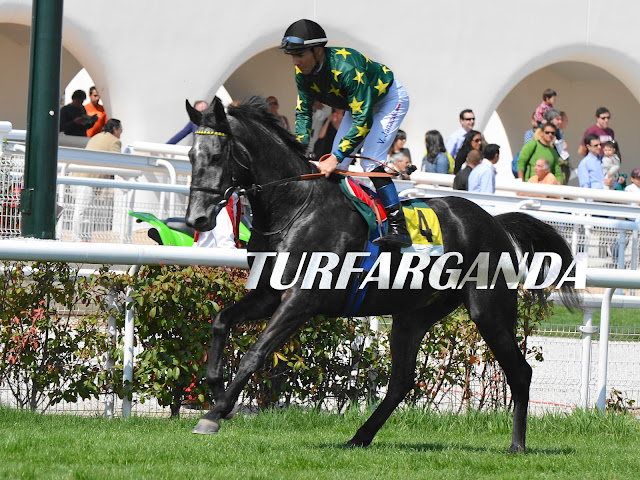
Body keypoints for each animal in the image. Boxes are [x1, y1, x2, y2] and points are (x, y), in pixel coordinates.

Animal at [184, 96, 580, 453]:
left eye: (217, 156)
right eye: (191, 156)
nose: (196, 219)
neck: (297, 207)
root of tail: (495, 222)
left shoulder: (302, 300)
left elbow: (255, 353)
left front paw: (214, 414)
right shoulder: (269, 293)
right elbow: (221, 320)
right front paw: (217, 391)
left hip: (489, 309)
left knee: (520, 372)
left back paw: (517, 445)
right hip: (413, 315)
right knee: (402, 381)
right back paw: (360, 436)